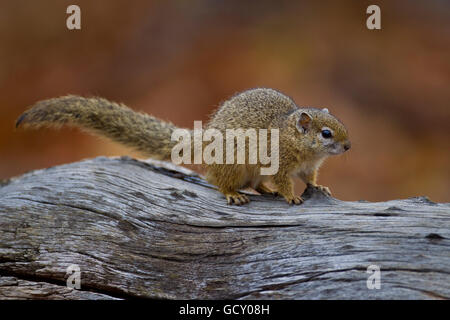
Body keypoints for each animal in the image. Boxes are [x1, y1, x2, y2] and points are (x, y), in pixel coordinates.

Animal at [15, 89, 350, 206]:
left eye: (337, 123)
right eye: (326, 133)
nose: (348, 146)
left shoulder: (308, 167)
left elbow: (309, 179)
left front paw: (320, 188)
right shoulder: (279, 162)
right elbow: (284, 180)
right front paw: (291, 196)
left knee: (255, 183)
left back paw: (265, 191)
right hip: (232, 164)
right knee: (220, 181)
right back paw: (234, 194)